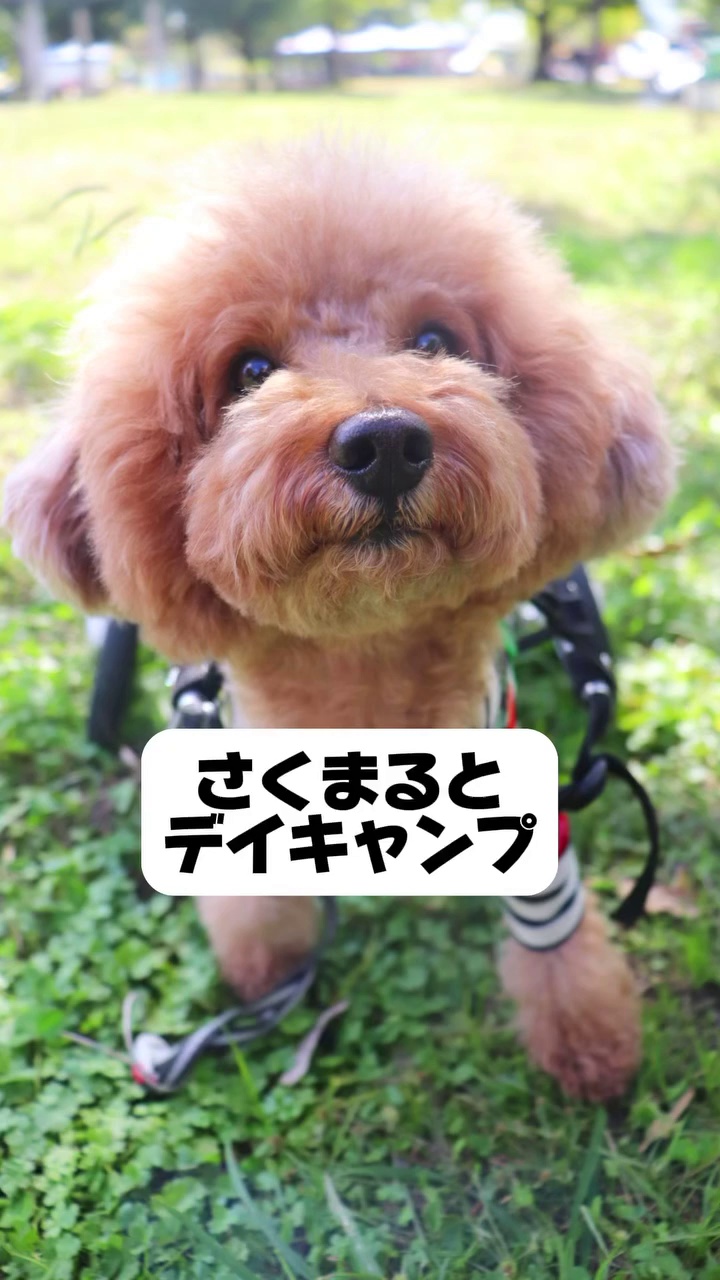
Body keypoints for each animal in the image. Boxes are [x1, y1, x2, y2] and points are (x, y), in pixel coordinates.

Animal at [4, 137, 674, 1100]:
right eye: (249, 371)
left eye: (433, 340)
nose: (386, 442)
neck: (363, 657)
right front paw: (265, 967)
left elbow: (557, 944)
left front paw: (591, 1044)